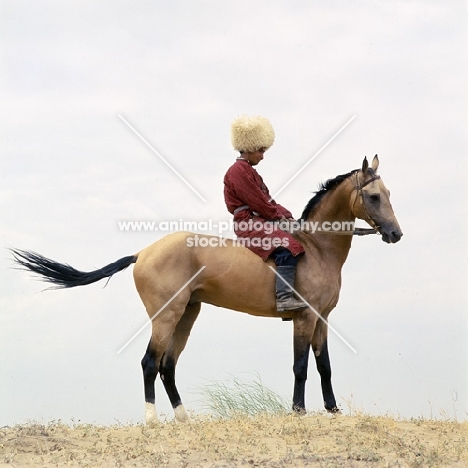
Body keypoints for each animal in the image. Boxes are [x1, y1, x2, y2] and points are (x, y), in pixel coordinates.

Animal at [12, 154, 404, 424]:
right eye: (372, 197)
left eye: (388, 193)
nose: (395, 234)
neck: (317, 247)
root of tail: (143, 252)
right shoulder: (304, 318)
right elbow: (301, 366)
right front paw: (298, 411)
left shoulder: (322, 318)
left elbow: (324, 366)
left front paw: (334, 411)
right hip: (166, 315)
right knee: (150, 362)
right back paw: (152, 420)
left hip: (187, 313)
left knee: (168, 365)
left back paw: (183, 418)